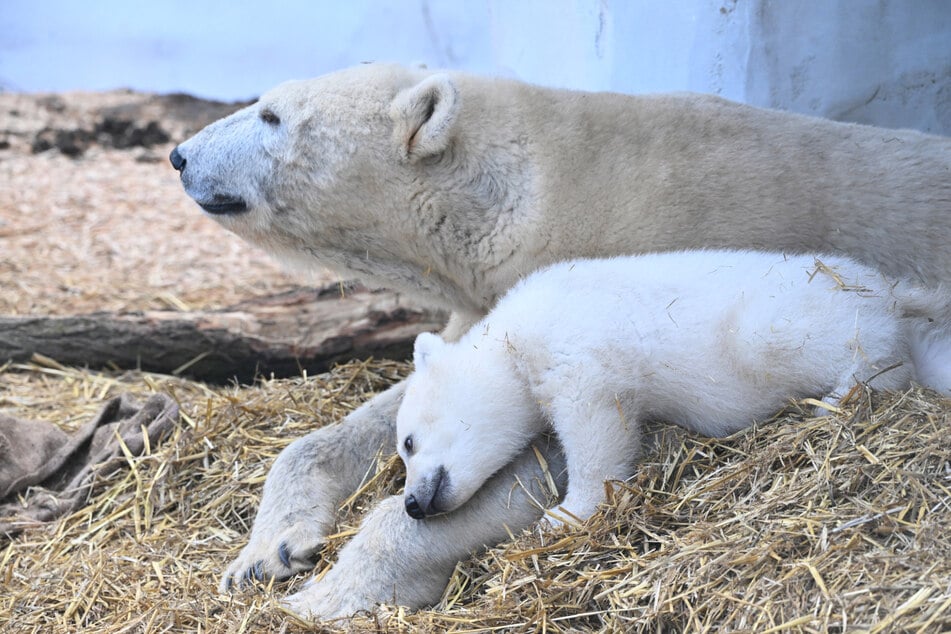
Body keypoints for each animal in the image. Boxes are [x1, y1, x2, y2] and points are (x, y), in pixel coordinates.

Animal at [171, 61, 951, 616]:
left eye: (272, 114)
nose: (179, 155)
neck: (533, 187)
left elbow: (546, 456)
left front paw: (332, 592)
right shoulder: (486, 299)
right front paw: (267, 552)